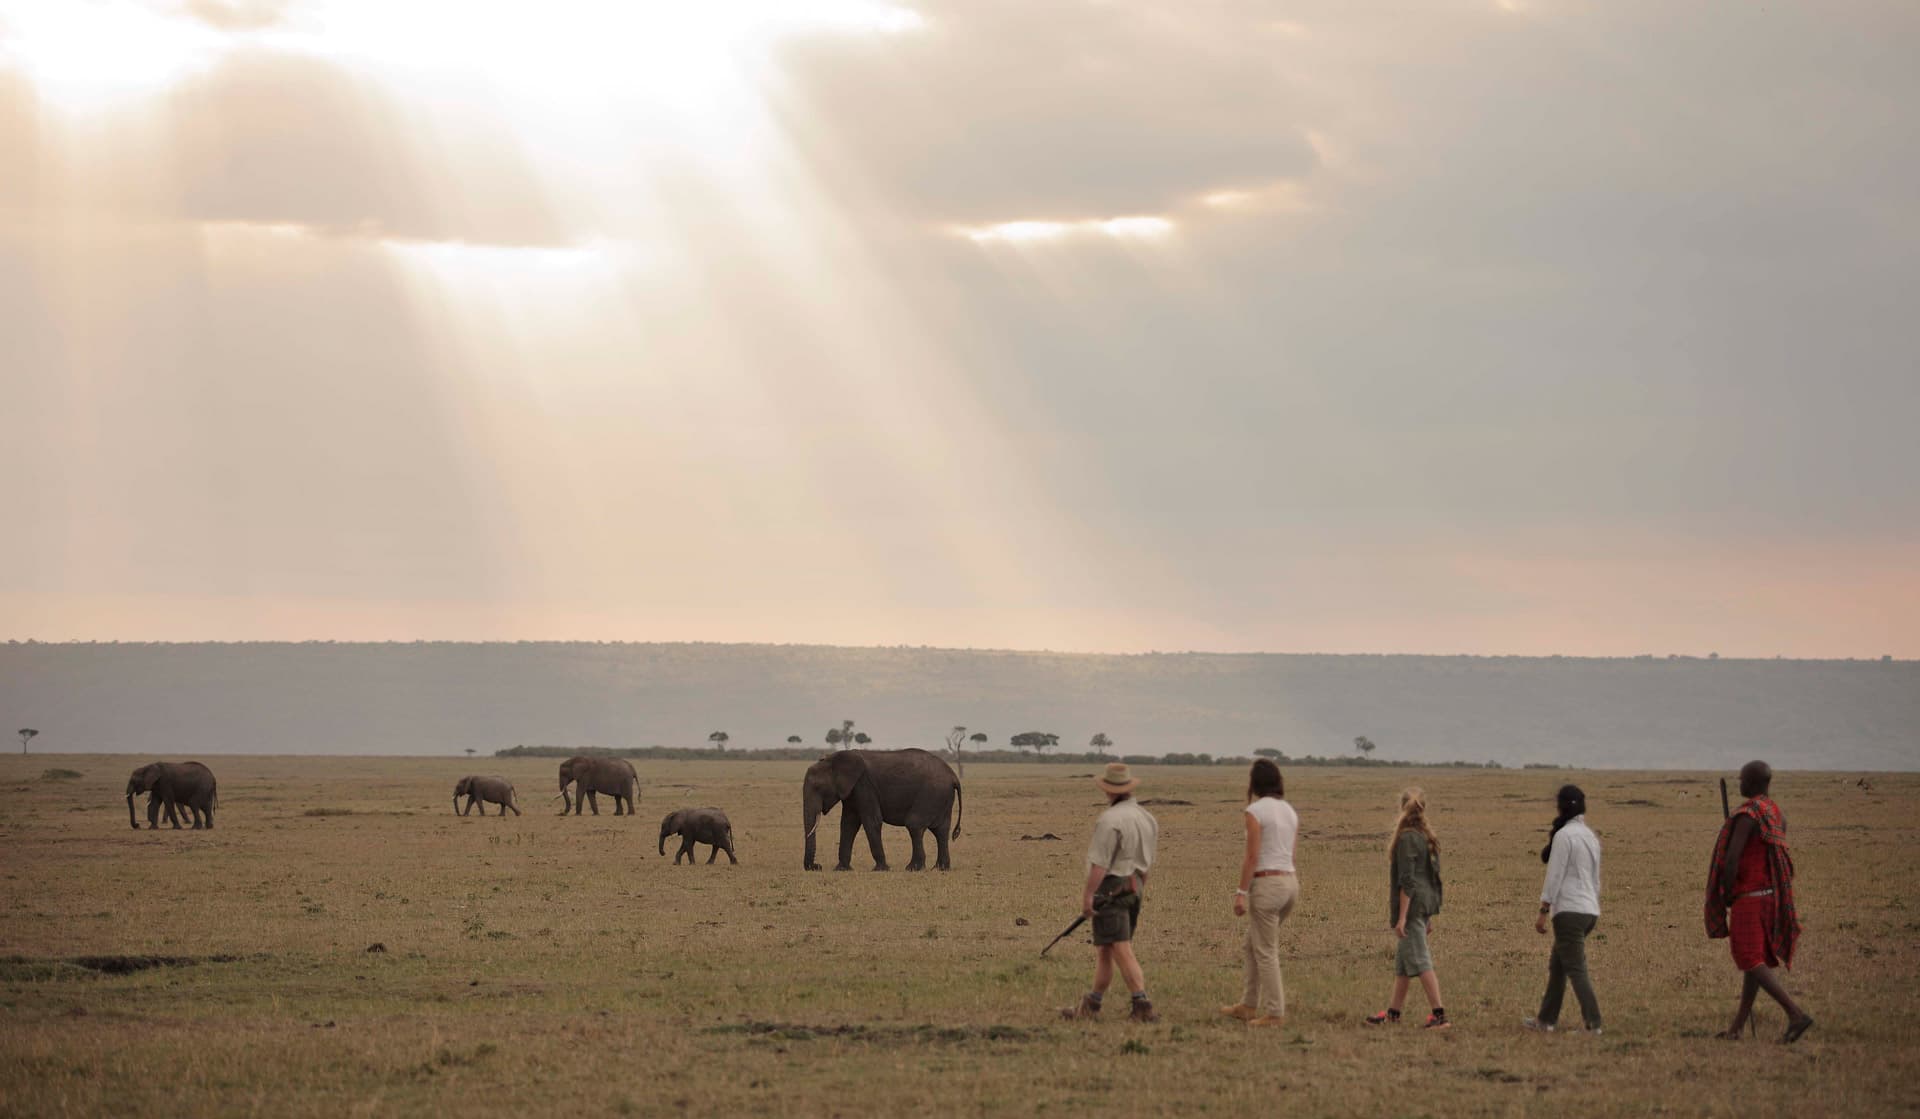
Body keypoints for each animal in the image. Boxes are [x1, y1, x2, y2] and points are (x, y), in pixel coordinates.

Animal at [801, 748, 962, 872]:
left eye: (818, 788)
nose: (817, 866)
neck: (834, 759)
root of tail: (953, 776)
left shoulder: (864, 786)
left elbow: (871, 822)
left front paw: (880, 869)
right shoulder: (852, 791)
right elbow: (848, 824)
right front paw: (841, 869)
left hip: (931, 793)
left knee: (914, 825)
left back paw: (913, 868)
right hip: (942, 797)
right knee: (941, 831)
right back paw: (940, 868)